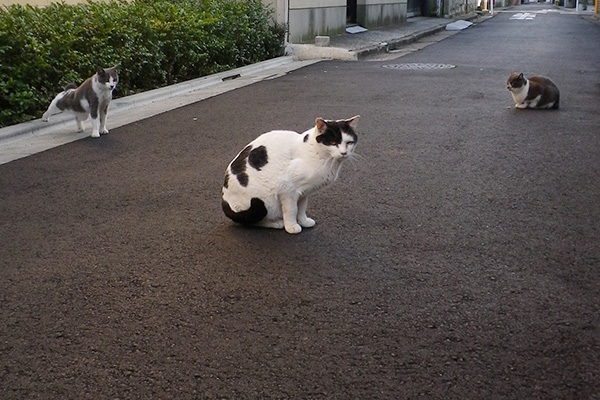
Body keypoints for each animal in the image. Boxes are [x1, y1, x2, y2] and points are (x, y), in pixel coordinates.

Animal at [223, 115, 358, 234]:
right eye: (333, 142)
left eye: (349, 142)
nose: (344, 153)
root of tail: (224, 202)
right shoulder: (288, 189)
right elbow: (292, 209)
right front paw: (292, 226)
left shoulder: (304, 192)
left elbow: (302, 208)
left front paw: (303, 221)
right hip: (265, 202)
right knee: (249, 221)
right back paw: (276, 223)